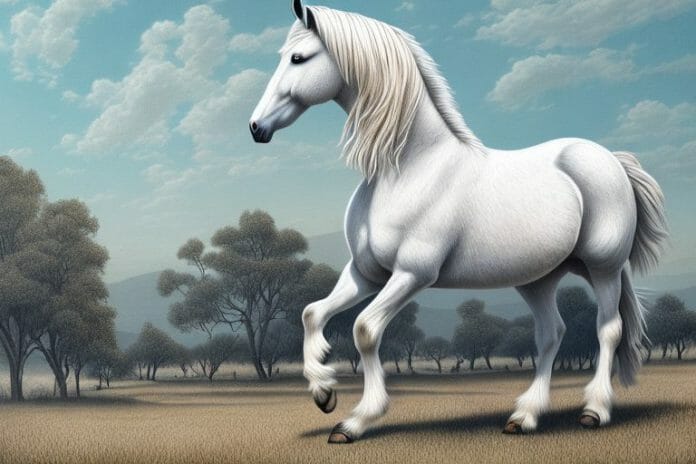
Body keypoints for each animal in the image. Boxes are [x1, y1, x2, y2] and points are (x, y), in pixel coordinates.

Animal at [250, 1, 668, 444]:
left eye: (298, 58)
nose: (256, 127)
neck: (409, 169)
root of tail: (611, 159)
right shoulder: (367, 273)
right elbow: (312, 313)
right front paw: (323, 391)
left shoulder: (413, 274)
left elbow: (364, 330)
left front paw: (356, 420)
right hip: (539, 279)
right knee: (551, 334)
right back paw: (524, 417)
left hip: (603, 267)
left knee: (608, 329)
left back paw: (594, 410)